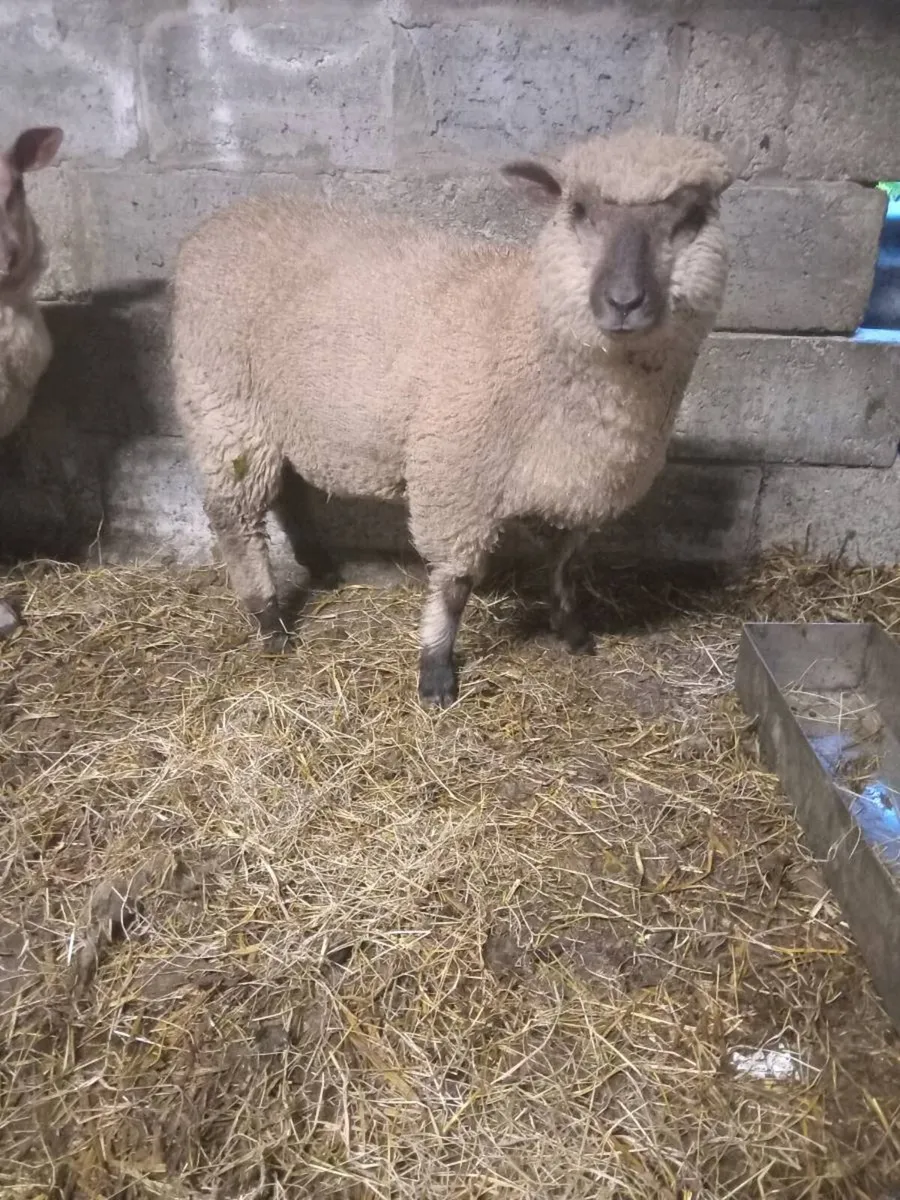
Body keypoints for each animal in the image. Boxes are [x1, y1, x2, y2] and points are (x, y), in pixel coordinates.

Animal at [171, 128, 732, 708]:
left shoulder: (578, 489)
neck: (532, 330)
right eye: (577, 209)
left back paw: (320, 567)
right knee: (236, 517)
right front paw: (436, 670)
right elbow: (455, 585)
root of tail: (221, 221)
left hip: (283, 414)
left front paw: (572, 630)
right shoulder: (458, 481)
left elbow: (564, 565)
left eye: (691, 216)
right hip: (224, 405)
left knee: (289, 493)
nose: (624, 301)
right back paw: (270, 623)